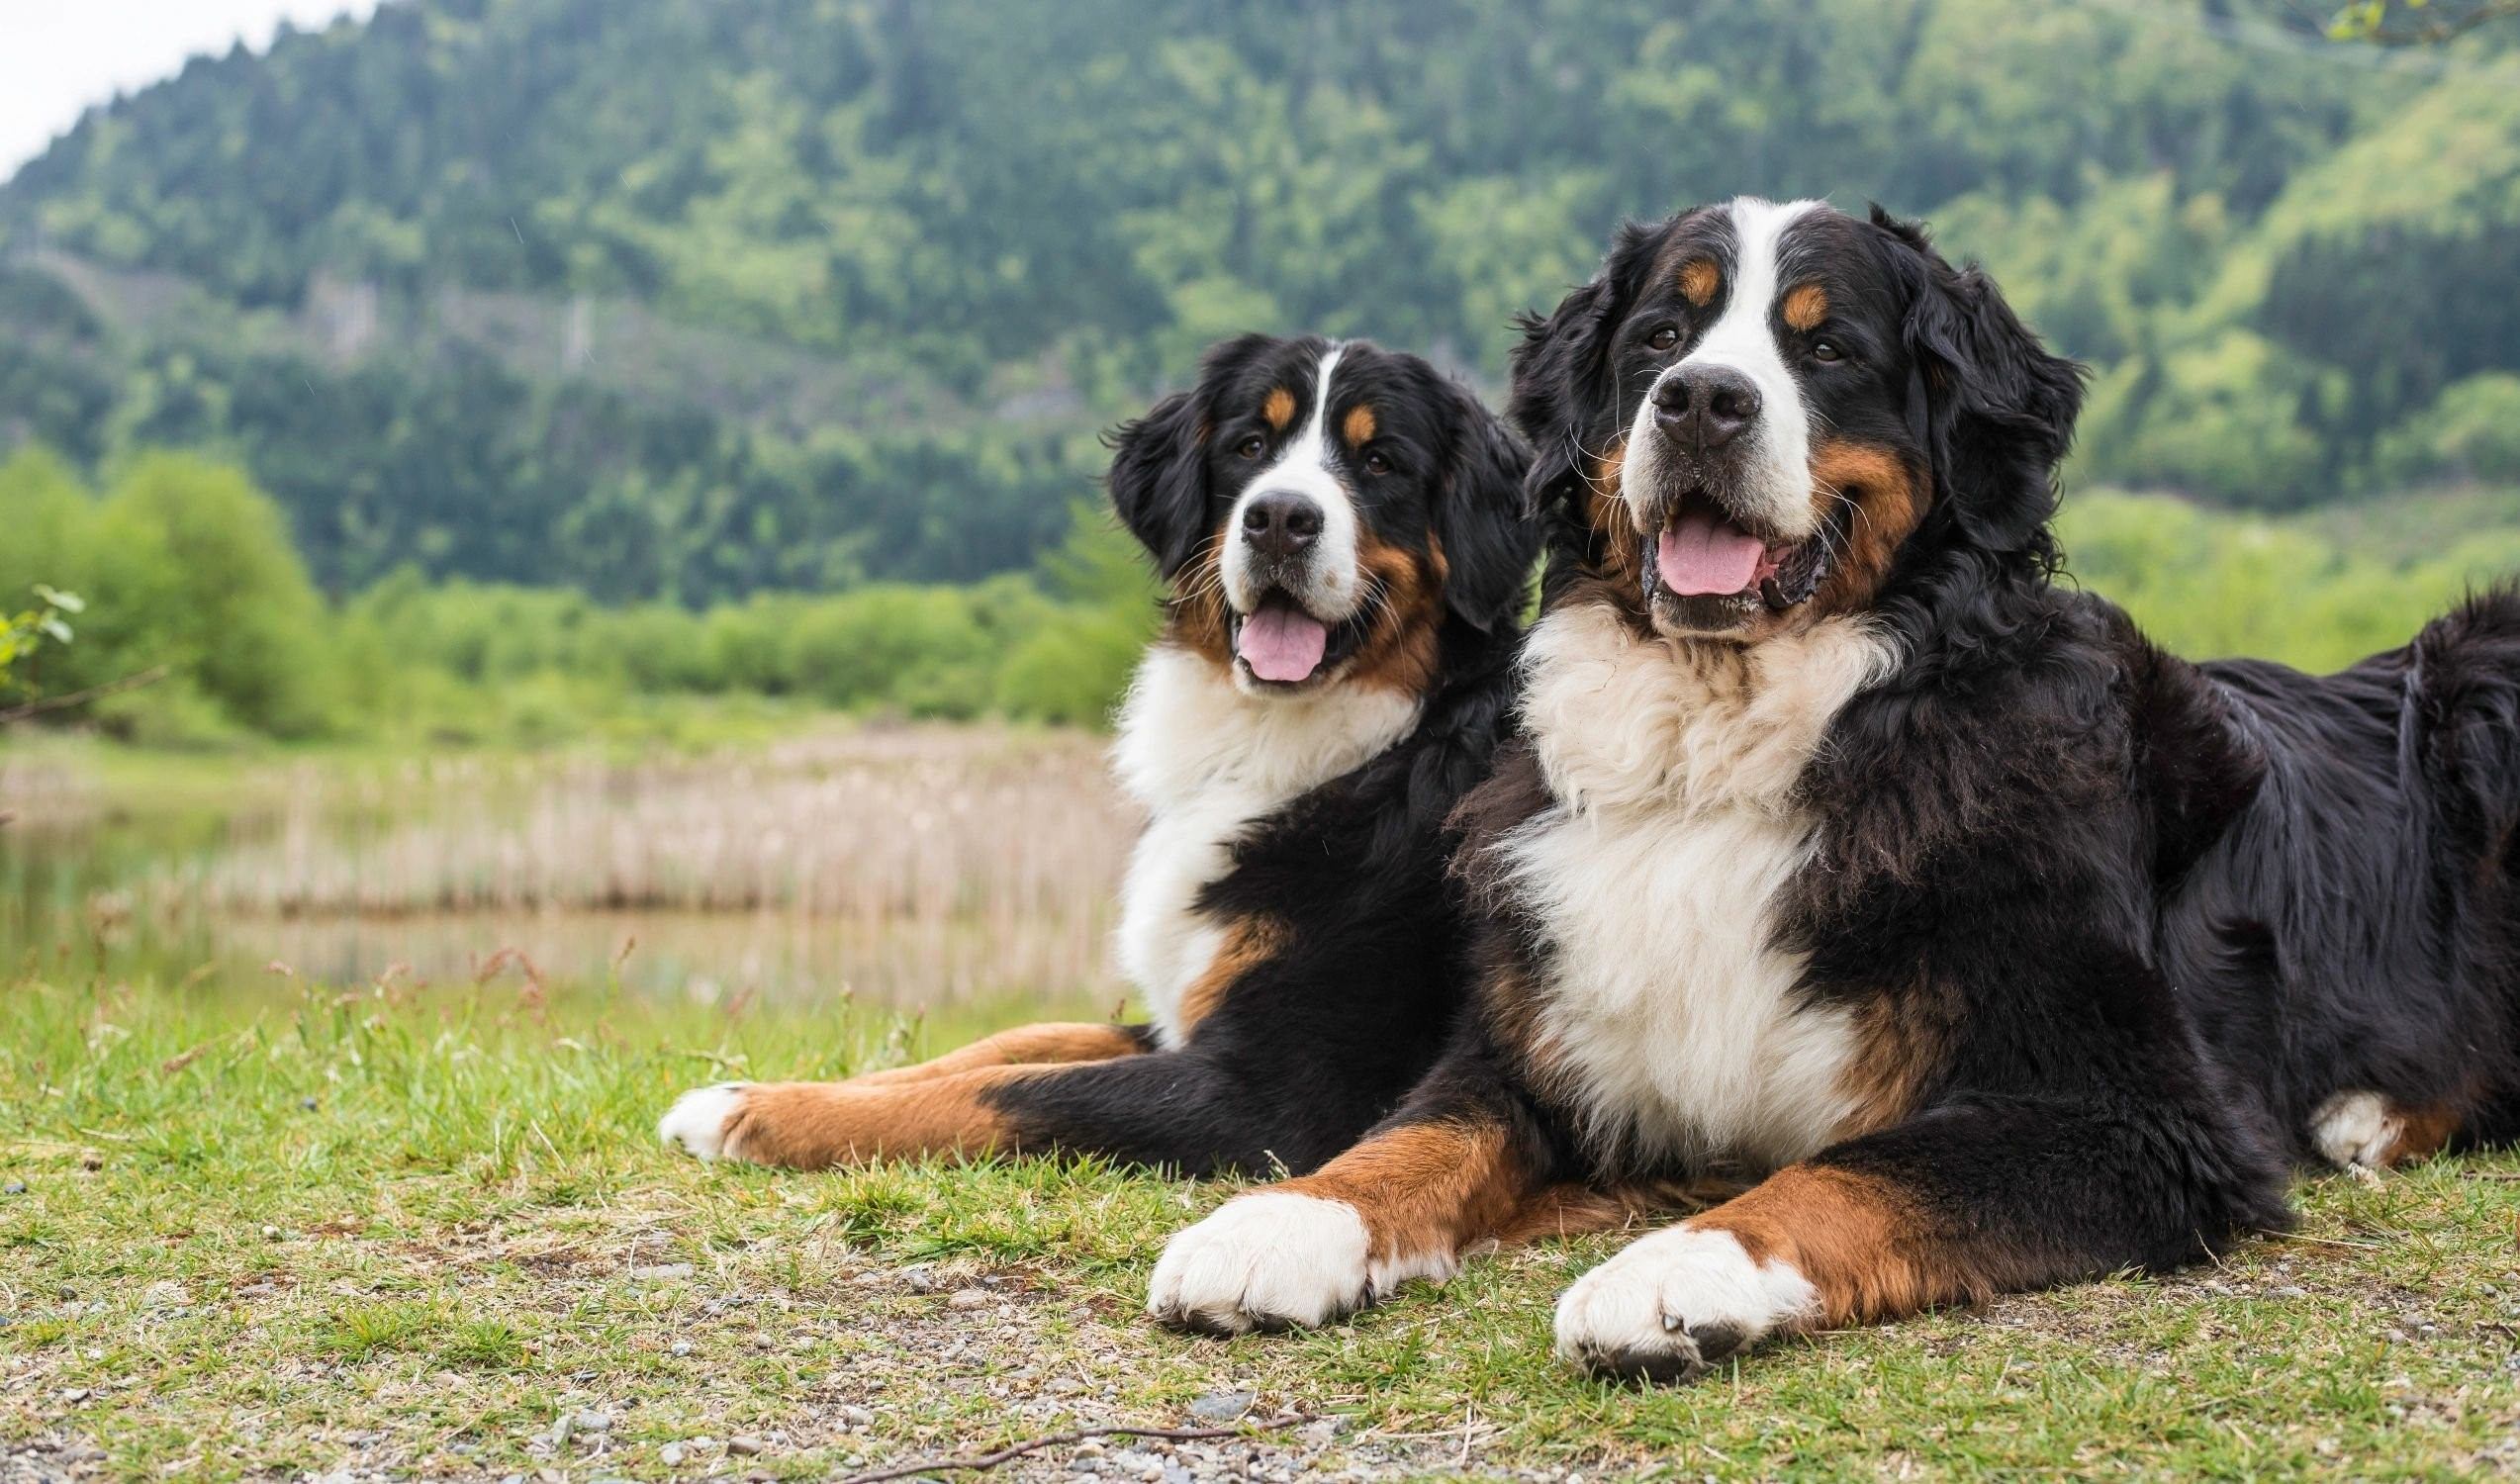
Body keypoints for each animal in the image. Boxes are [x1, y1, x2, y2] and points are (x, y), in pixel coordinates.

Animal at [650, 334, 1541, 1178]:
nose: (1280, 519)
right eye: (1249, 445)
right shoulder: (1183, 1018)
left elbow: (1008, 1090)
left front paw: (755, 1115)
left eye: (1380, 460)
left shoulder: (1272, 1088)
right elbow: (1012, 1043)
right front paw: (759, 1086)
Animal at [1149, 194, 2520, 1380]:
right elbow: (1410, 1137)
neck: (1725, 748)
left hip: (2481, 672)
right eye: (1661, 336)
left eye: (1827, 347)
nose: (1701, 401)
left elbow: (1858, 1173)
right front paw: (1277, 1223)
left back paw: (2367, 1116)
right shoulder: (1536, 1048)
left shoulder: (2139, 1115)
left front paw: (1683, 1267)